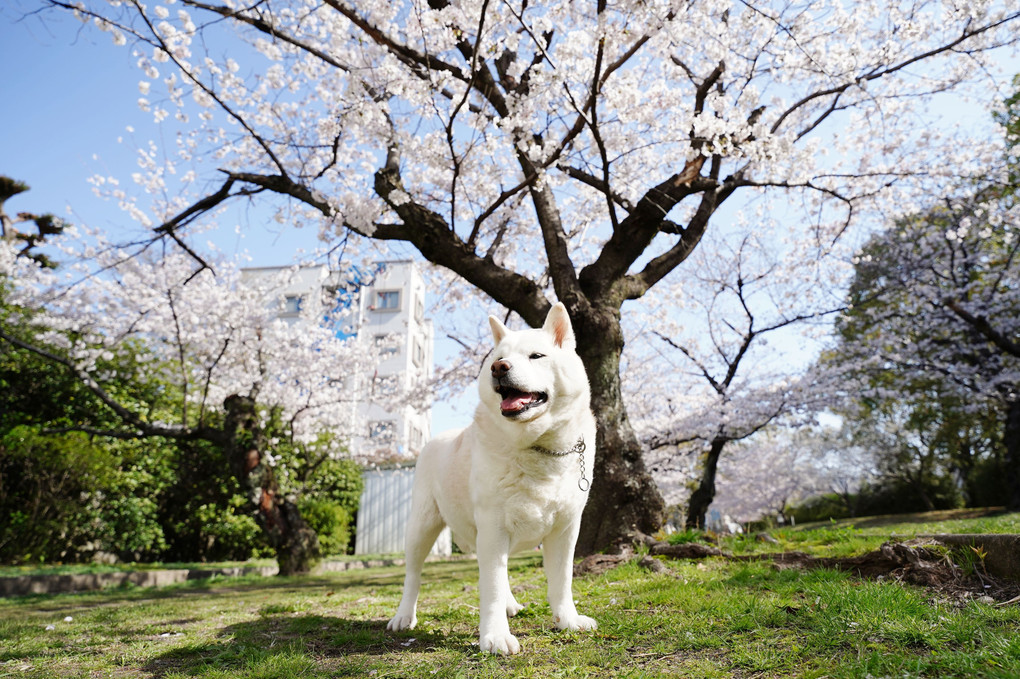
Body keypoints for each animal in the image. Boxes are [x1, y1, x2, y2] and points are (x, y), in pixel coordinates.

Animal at [387, 301, 595, 652]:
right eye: (497, 358)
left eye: (536, 356)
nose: (499, 368)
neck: (538, 447)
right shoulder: (493, 526)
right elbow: (492, 587)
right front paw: (495, 636)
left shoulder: (566, 530)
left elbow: (561, 581)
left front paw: (568, 620)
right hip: (422, 526)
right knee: (413, 576)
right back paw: (404, 616)